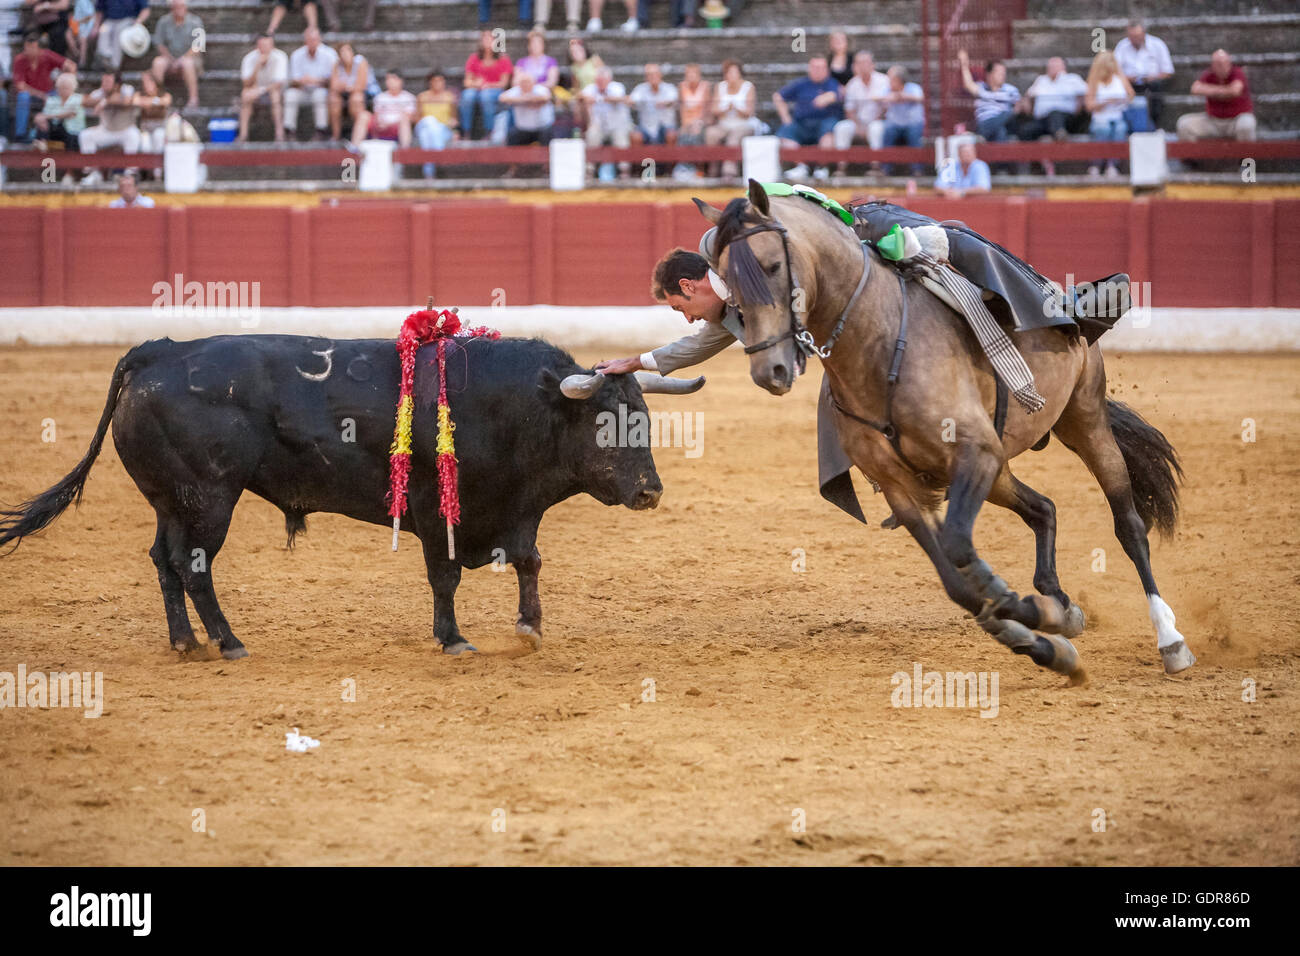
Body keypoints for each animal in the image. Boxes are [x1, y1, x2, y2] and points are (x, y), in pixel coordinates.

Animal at [0, 335, 696, 658]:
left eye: (643, 419)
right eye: (605, 421)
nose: (650, 492)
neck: (513, 405)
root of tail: (159, 353)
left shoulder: (514, 511)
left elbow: (528, 561)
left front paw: (528, 626)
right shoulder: (434, 512)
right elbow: (445, 577)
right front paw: (453, 639)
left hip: (172, 501)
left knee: (165, 562)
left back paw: (185, 642)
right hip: (209, 498)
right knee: (193, 568)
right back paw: (228, 641)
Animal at [696, 180, 1190, 681]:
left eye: (773, 266)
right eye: (726, 281)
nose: (770, 370)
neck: (878, 341)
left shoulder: (974, 453)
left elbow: (960, 551)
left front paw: (1020, 608)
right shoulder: (905, 488)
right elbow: (957, 583)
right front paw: (1044, 640)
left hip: (1083, 418)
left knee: (1128, 525)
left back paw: (1169, 639)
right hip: (999, 469)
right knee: (1044, 509)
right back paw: (1061, 605)